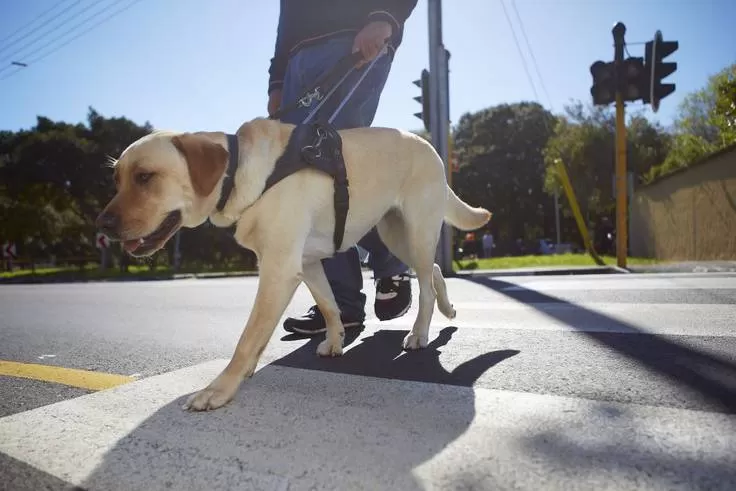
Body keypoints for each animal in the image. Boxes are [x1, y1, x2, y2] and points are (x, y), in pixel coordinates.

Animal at [96, 118, 488, 412]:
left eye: (145, 177)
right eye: (116, 179)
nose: (102, 225)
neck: (239, 173)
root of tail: (430, 146)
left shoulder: (277, 269)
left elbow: (248, 336)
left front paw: (220, 388)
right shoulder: (307, 263)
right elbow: (329, 306)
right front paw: (334, 340)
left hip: (416, 230)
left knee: (424, 283)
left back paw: (420, 332)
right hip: (394, 232)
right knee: (433, 271)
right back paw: (448, 308)